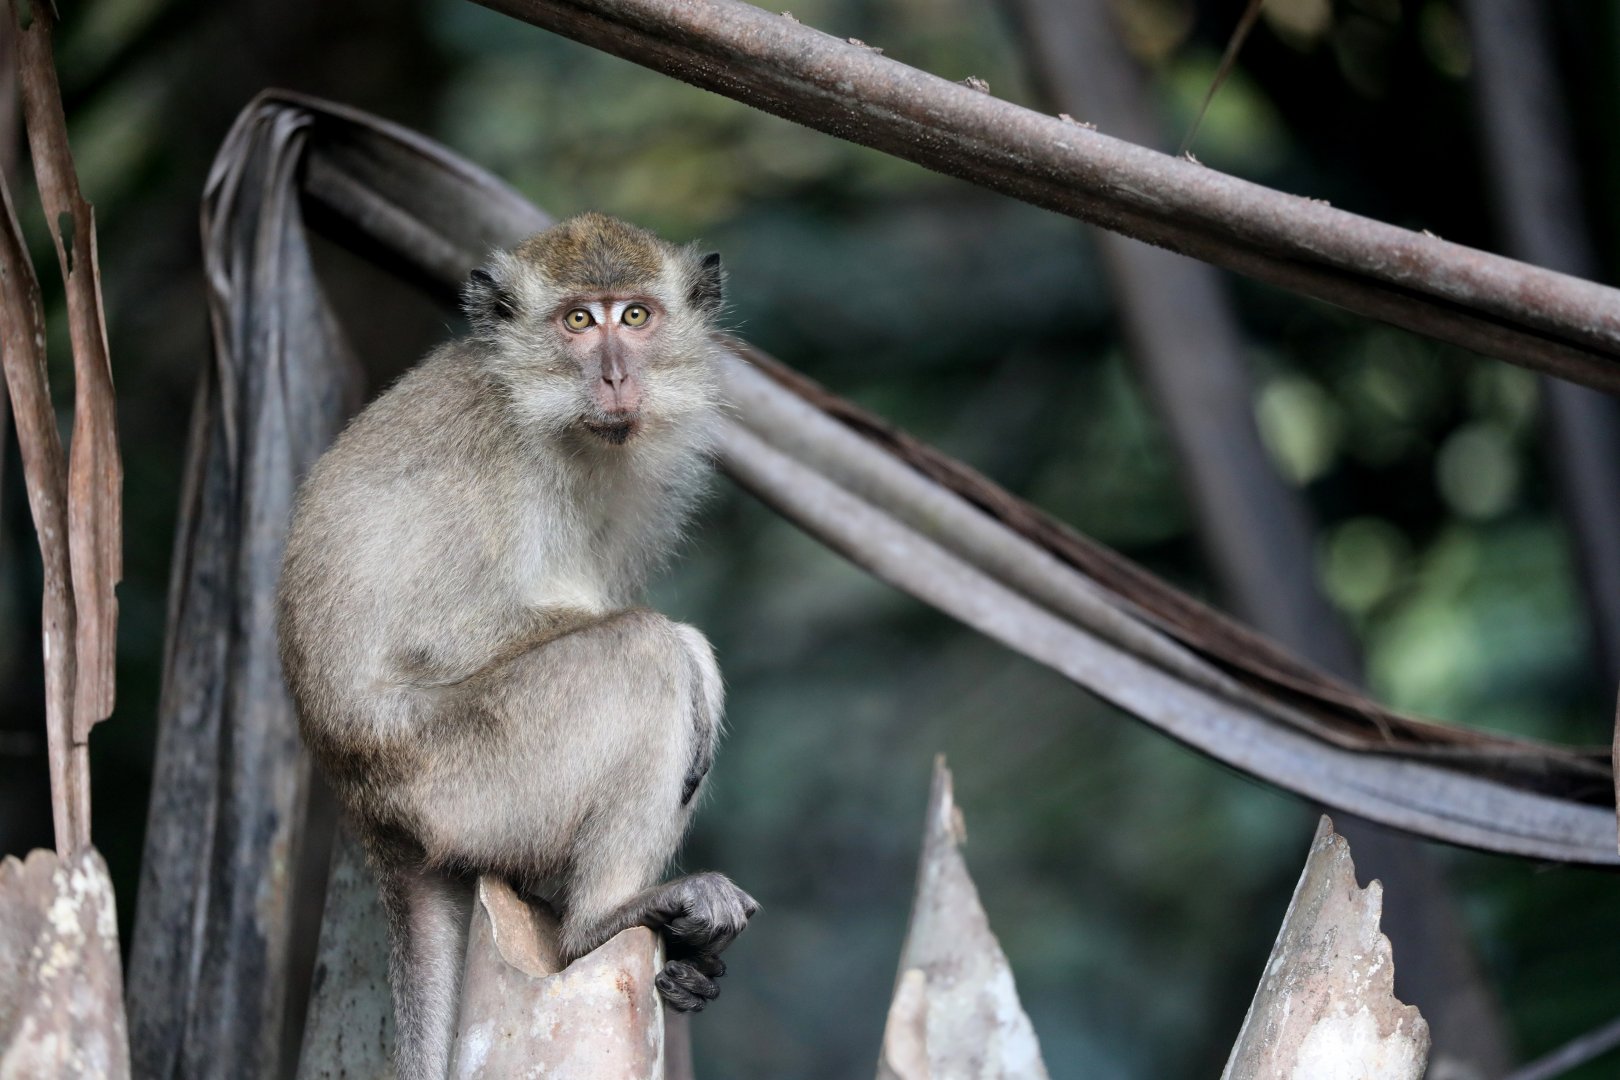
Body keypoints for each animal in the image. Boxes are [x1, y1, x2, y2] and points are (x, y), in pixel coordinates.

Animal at [276, 213, 757, 1080]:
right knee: (639, 657)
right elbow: (440, 633)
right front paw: (694, 651)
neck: (547, 414)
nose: (615, 376)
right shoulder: (490, 457)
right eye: (579, 321)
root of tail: (372, 815)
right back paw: (597, 920)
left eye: (635, 316)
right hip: (467, 786)